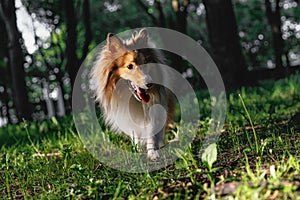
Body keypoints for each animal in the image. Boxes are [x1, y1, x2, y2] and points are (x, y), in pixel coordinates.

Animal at [90, 29, 175, 161]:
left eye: (145, 63)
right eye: (130, 66)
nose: (150, 84)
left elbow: (151, 132)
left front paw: (153, 153)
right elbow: (135, 134)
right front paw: (137, 150)